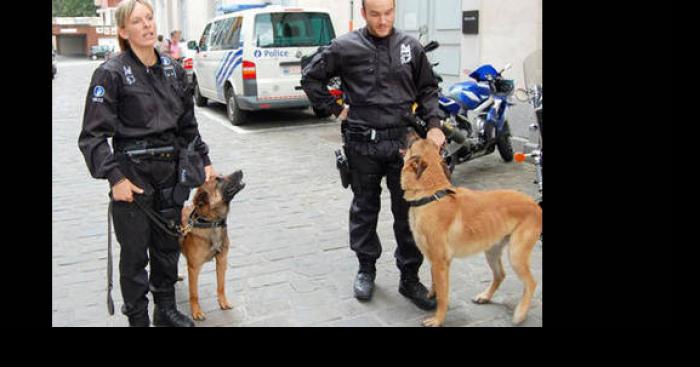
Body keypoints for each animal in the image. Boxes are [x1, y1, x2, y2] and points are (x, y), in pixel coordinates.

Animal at [179, 171, 245, 320]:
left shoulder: (222, 260)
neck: (212, 222)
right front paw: (196, 311)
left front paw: (223, 302)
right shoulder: (194, 267)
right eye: (218, 179)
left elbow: (221, 285)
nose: (240, 171)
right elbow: (194, 293)